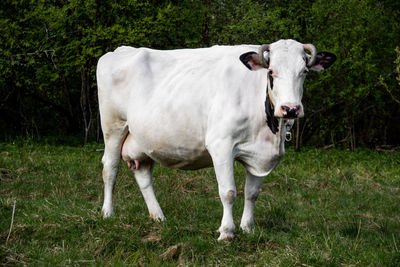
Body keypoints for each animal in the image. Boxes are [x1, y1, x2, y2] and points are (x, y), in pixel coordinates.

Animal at [97, 38, 338, 242]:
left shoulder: (258, 153)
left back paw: (158, 216)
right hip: (113, 126)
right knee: (110, 168)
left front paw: (248, 228)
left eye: (304, 71)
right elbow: (228, 192)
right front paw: (227, 232)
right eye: (271, 71)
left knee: (143, 176)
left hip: (142, 140)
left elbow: (252, 193)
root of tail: (121, 50)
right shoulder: (221, 145)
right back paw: (107, 212)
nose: (290, 108)